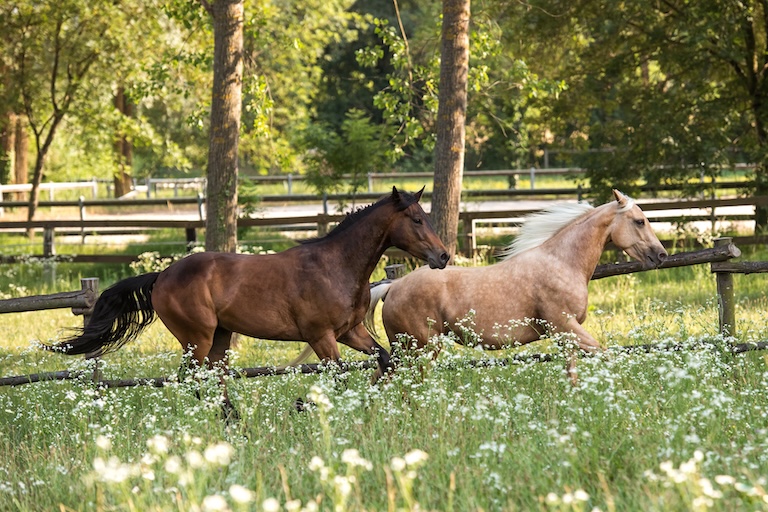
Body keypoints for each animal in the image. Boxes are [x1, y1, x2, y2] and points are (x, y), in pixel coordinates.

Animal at [46, 187, 449, 417]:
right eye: (416, 219)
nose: (443, 256)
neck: (336, 266)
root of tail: (162, 276)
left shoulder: (351, 331)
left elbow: (385, 358)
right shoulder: (321, 336)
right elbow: (338, 375)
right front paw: (304, 405)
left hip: (221, 338)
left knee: (213, 378)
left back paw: (234, 420)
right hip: (197, 337)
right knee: (191, 379)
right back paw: (230, 422)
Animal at [364, 189, 667, 383]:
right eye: (640, 221)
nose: (661, 255)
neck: (562, 262)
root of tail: (392, 287)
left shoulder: (566, 338)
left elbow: (573, 375)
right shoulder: (566, 327)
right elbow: (608, 357)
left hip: (408, 351)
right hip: (417, 349)